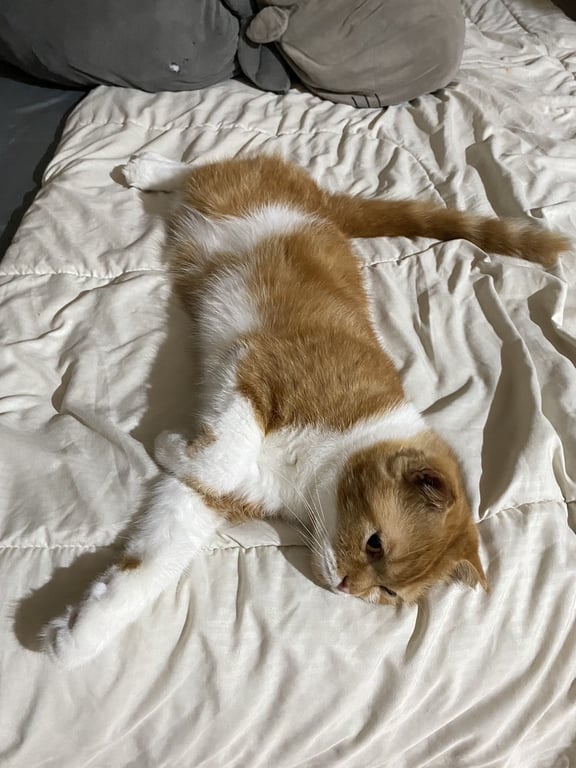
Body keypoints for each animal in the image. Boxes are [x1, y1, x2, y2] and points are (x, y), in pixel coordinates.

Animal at [42, 152, 569, 668]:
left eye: (387, 591)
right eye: (374, 544)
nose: (346, 588)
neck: (316, 471)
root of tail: (323, 203)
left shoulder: (218, 497)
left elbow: (153, 561)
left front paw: (78, 635)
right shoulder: (254, 372)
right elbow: (219, 457)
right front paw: (172, 445)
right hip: (226, 188)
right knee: (198, 167)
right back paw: (144, 168)